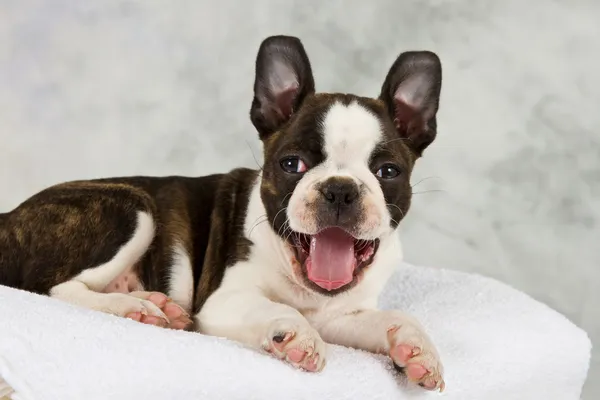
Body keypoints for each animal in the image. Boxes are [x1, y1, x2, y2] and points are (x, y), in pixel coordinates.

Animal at [1, 34, 446, 390]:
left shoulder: (342, 315)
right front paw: (296, 334)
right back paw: (134, 309)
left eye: (388, 172)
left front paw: (417, 349)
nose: (340, 190)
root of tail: (9, 217)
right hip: (132, 208)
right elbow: (279, 308)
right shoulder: (223, 300)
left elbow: (395, 317)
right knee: (56, 288)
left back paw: (155, 306)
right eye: (292, 164)